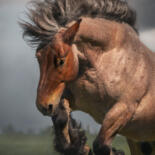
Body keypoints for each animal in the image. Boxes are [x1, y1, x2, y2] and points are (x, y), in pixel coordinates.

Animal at [20, 0, 155, 154]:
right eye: (39, 58)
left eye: (61, 60)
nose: (43, 106)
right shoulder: (74, 99)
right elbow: (61, 121)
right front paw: (79, 144)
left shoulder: (124, 108)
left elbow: (101, 145)